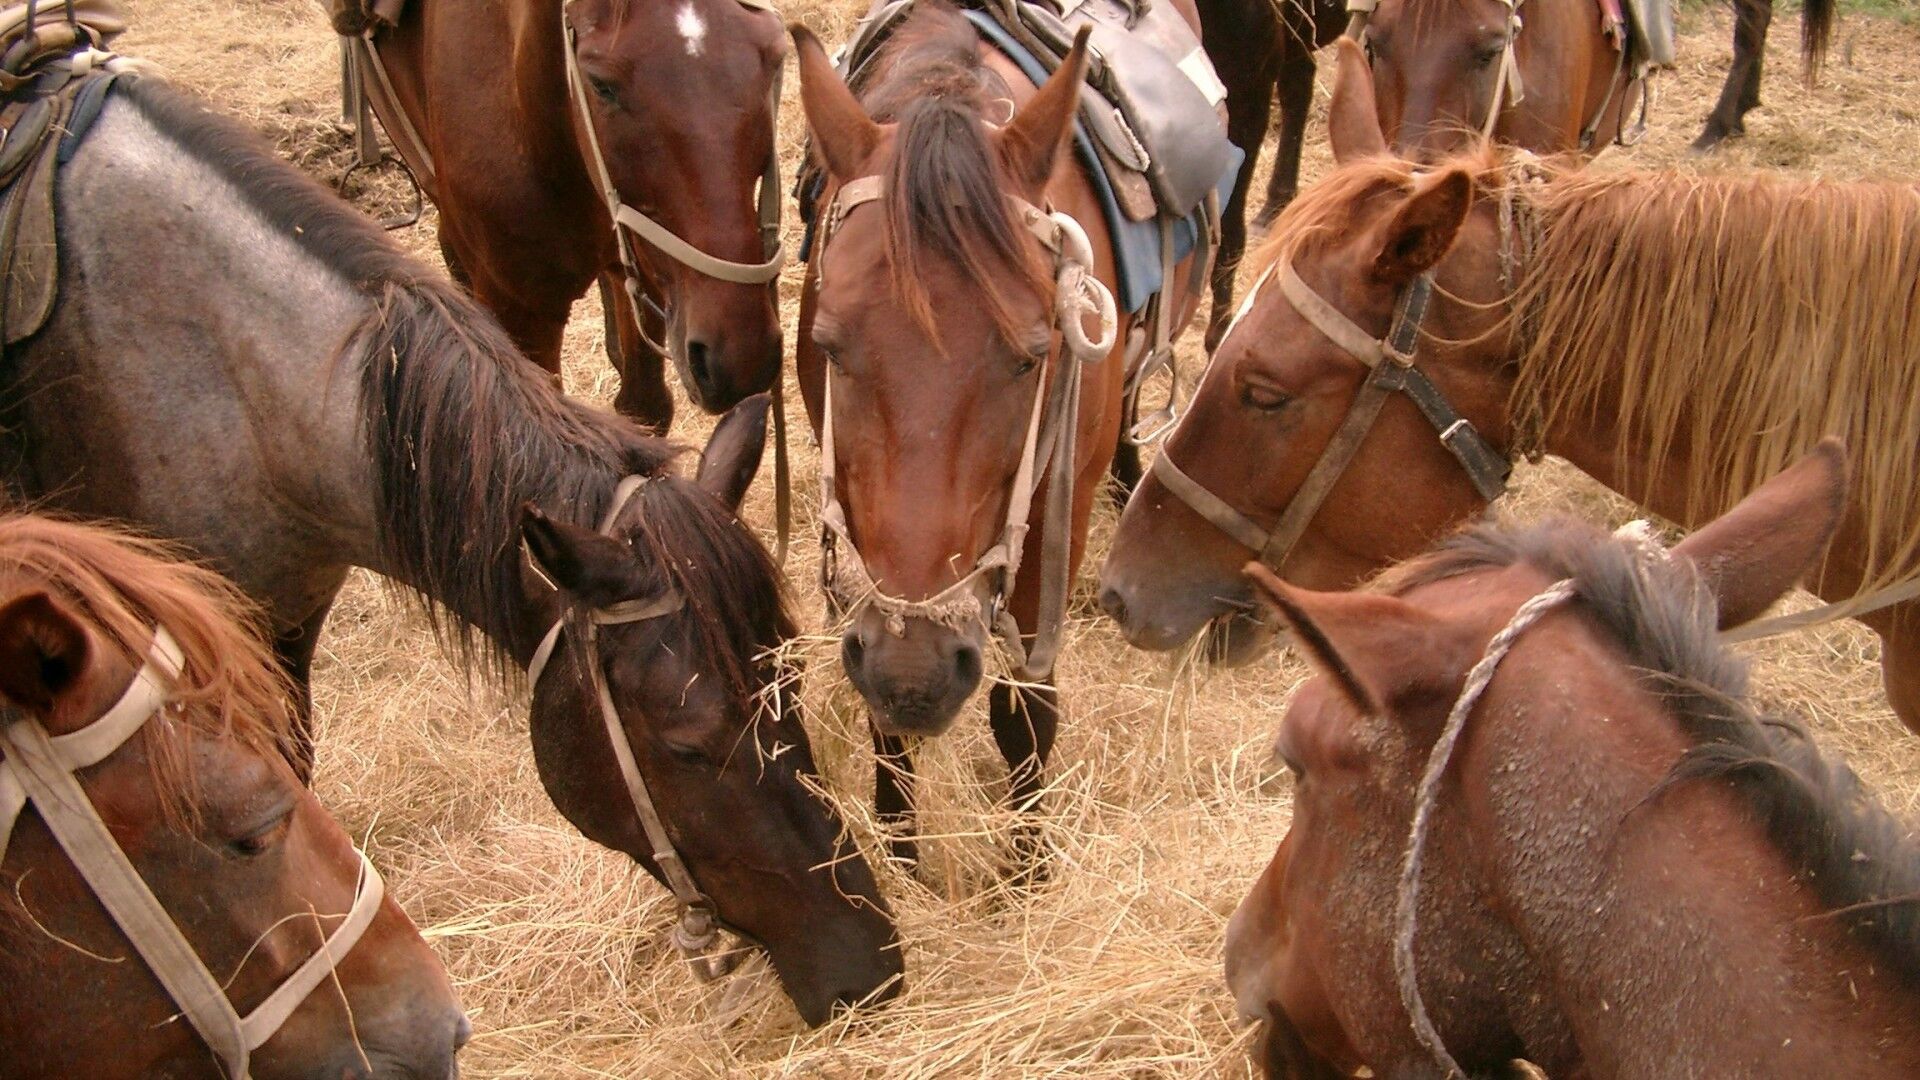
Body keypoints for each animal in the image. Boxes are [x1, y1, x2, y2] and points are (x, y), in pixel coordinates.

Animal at [333, 0, 786, 428]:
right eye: (601, 85)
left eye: (775, 57)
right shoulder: (519, 309)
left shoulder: (649, 274)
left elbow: (643, 407)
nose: (742, 357)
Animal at [790, 2, 1206, 870]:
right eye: (832, 347)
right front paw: (904, 857)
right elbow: (885, 723)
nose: (914, 670)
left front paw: (1028, 872)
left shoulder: (1052, 521)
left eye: (1032, 356)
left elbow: (1025, 712)